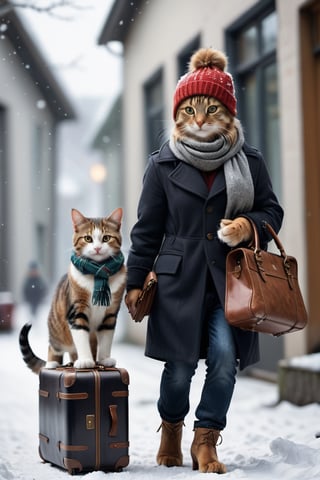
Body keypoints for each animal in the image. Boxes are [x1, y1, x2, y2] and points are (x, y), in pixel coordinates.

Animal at [18, 206, 126, 372]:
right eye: (87, 238)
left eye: (106, 238)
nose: (97, 248)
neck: (97, 273)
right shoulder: (76, 310)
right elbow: (81, 336)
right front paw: (86, 360)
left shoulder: (110, 313)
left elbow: (106, 339)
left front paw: (104, 360)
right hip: (56, 329)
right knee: (54, 347)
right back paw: (53, 363)